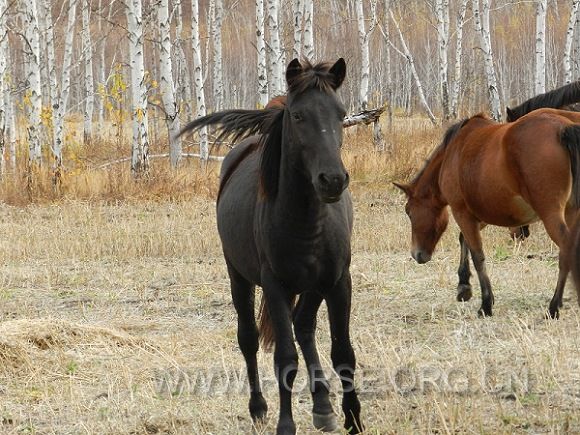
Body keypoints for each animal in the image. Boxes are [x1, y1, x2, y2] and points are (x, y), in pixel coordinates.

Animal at [179, 59, 364, 435]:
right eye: (298, 115)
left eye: (341, 114)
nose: (332, 180)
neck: (305, 220)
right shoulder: (276, 285)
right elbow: (285, 358)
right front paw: (285, 424)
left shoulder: (338, 281)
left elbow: (343, 353)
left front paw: (353, 418)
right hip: (239, 277)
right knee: (249, 338)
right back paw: (259, 408)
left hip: (313, 286)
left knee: (304, 326)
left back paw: (323, 406)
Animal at [394, 108, 580, 320]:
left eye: (409, 212)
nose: (416, 254)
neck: (452, 153)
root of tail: (563, 128)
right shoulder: (478, 215)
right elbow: (463, 240)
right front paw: (464, 287)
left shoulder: (462, 212)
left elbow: (478, 256)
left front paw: (485, 304)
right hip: (571, 213)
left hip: (551, 215)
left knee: (566, 252)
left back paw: (553, 307)